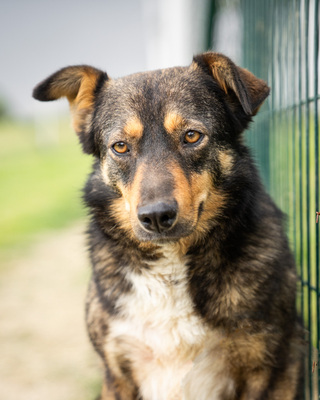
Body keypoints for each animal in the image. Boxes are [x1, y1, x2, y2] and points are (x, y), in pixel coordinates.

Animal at [33, 53, 304, 400]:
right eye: (120, 146)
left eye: (191, 136)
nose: (156, 216)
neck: (170, 267)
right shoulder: (117, 372)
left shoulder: (268, 369)